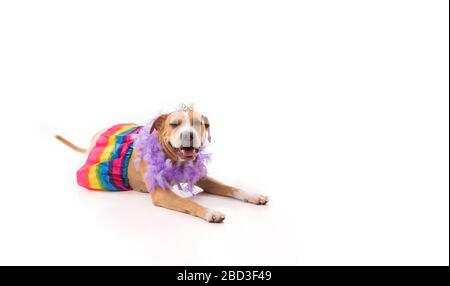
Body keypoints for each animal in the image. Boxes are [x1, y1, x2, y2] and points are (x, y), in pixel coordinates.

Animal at [55, 106, 268, 221]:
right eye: (174, 124)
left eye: (198, 123)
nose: (189, 135)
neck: (175, 160)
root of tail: (93, 140)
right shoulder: (160, 193)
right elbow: (187, 201)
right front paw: (210, 212)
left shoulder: (202, 177)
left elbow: (231, 187)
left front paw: (253, 196)